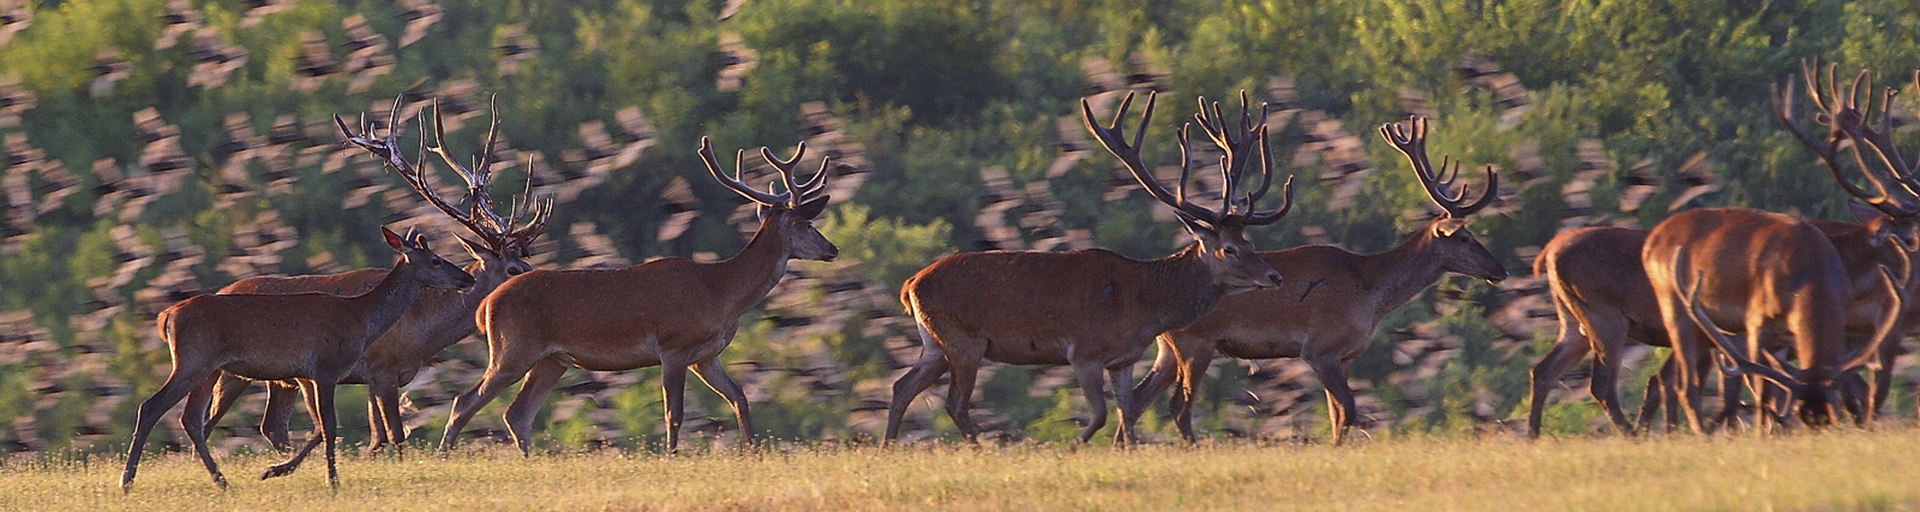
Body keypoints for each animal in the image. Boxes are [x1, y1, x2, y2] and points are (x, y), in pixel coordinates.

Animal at [119, 229, 472, 494]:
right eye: (436, 260)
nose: (466, 279)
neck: (361, 318)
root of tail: (167, 316)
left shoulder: (313, 375)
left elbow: (323, 428)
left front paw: (279, 471)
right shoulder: (326, 367)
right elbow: (330, 426)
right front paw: (333, 482)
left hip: (208, 368)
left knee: (190, 418)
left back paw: (222, 482)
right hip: (194, 360)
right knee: (152, 407)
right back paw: (127, 481)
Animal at [203, 98, 549, 456]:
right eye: (513, 269)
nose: (540, 280)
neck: (421, 332)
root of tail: (222, 290)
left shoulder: (373, 378)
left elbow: (377, 436)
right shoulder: (382, 369)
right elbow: (392, 434)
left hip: (280, 379)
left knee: (272, 426)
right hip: (232, 373)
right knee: (210, 421)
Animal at [439, 137, 837, 458]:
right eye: (808, 223)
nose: (832, 249)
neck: (719, 291)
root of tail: (485, 305)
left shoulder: (705, 356)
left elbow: (739, 396)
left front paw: (752, 451)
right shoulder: (673, 345)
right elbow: (673, 412)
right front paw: (671, 456)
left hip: (552, 360)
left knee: (517, 414)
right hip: (513, 350)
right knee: (464, 401)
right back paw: (444, 455)